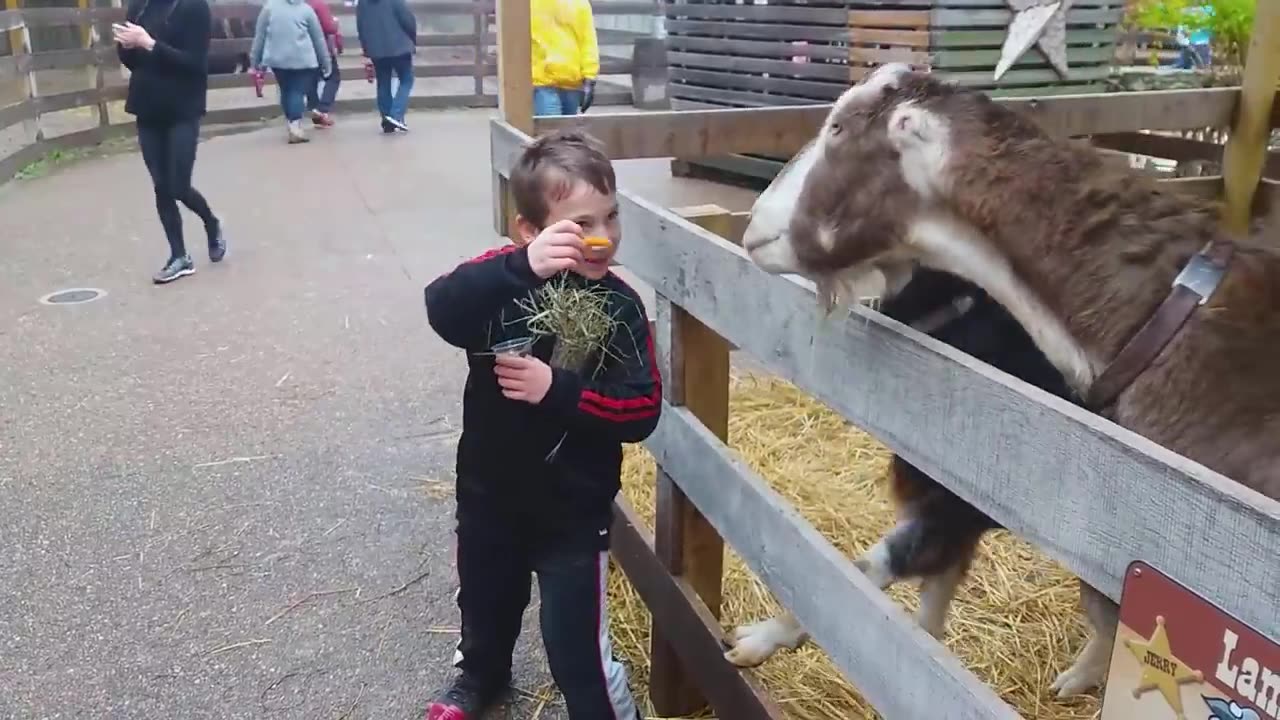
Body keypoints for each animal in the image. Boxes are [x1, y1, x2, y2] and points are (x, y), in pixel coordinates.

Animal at [737, 63, 1280, 696]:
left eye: (840, 128)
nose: (752, 226)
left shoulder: (964, 507)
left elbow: (871, 568)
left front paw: (760, 637)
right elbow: (925, 614)